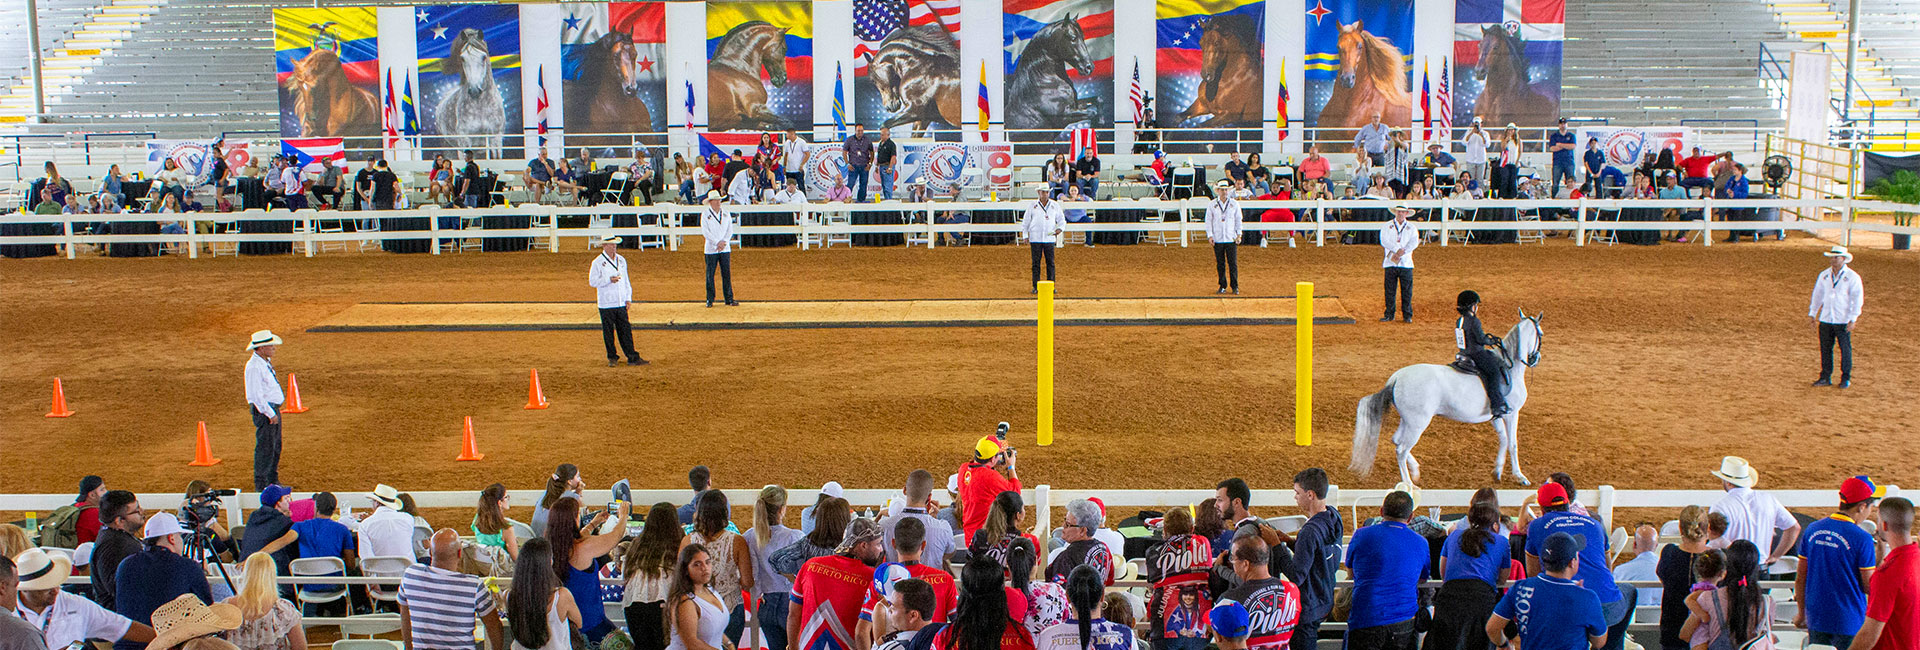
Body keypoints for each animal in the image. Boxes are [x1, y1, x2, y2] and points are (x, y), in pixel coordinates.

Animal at [1351, 310, 1543, 488]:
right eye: (1540, 333)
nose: (1536, 359)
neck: (1510, 368)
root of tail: (1396, 378)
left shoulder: (1495, 415)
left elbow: (1503, 439)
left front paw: (1497, 471)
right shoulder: (1512, 413)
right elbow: (1512, 443)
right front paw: (1520, 477)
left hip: (1408, 421)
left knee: (1396, 440)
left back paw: (1416, 471)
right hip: (1417, 423)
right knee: (1401, 449)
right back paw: (1409, 484)